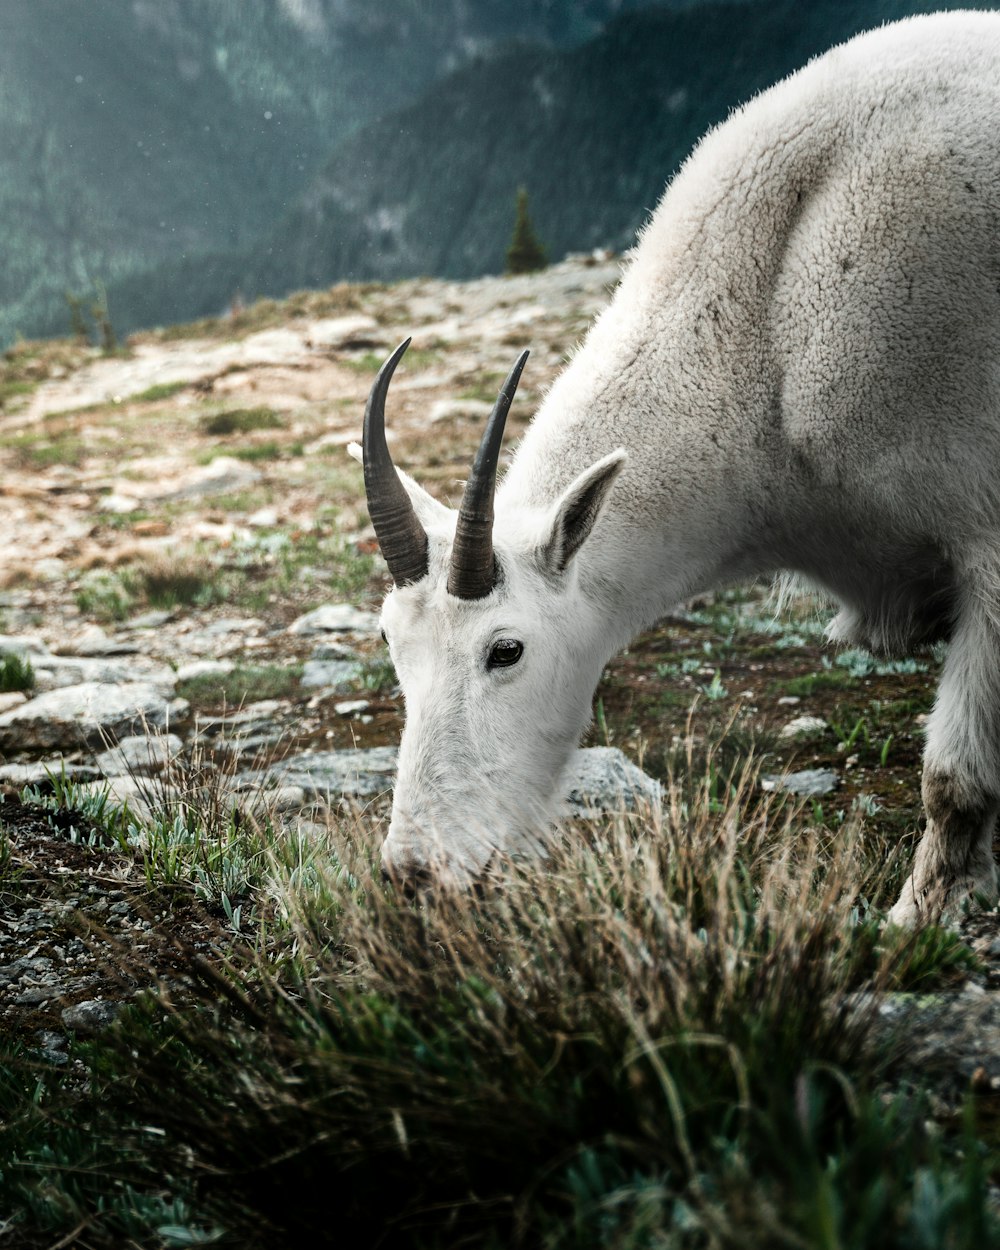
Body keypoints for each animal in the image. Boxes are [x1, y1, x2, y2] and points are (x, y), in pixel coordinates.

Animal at [352, 12, 1000, 930]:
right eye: (389, 641)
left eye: (505, 650)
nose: (416, 872)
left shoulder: (988, 541)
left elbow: (953, 779)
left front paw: (915, 922)